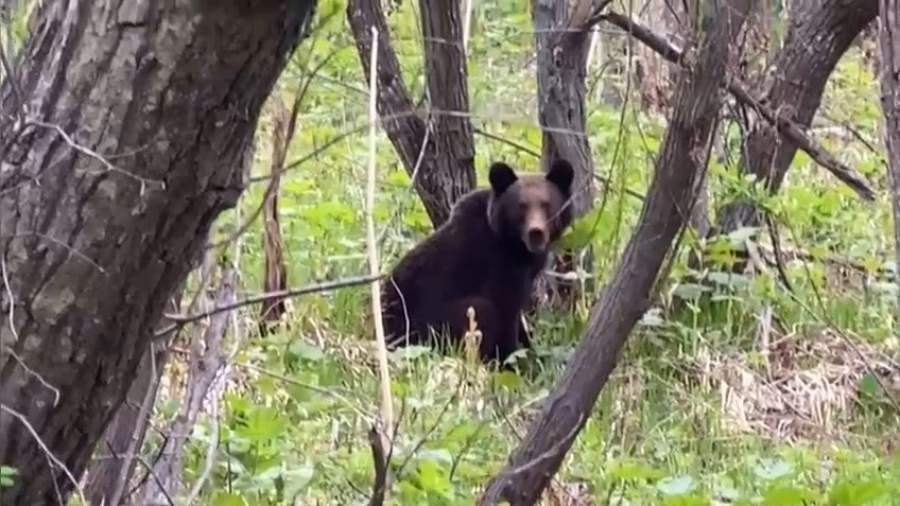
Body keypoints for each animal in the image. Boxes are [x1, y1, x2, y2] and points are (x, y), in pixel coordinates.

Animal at [380, 158, 576, 364]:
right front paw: (513, 360)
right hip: (426, 327)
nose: (535, 233)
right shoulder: (497, 266)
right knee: (480, 311)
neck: (515, 246)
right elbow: (505, 313)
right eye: (521, 206)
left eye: (546, 204)